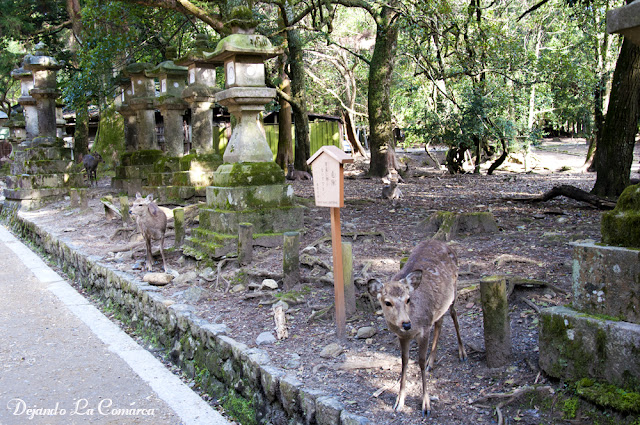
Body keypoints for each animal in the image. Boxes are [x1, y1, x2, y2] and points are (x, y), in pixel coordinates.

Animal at [368, 240, 468, 416]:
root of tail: (445, 244)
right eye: (387, 302)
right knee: (440, 322)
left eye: (408, 299)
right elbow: (404, 361)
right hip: (439, 306)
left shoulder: (424, 328)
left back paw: (462, 352)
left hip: (455, 288)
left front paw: (426, 404)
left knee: (454, 314)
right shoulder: (402, 336)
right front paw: (399, 401)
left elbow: (419, 361)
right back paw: (431, 362)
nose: (406, 324)